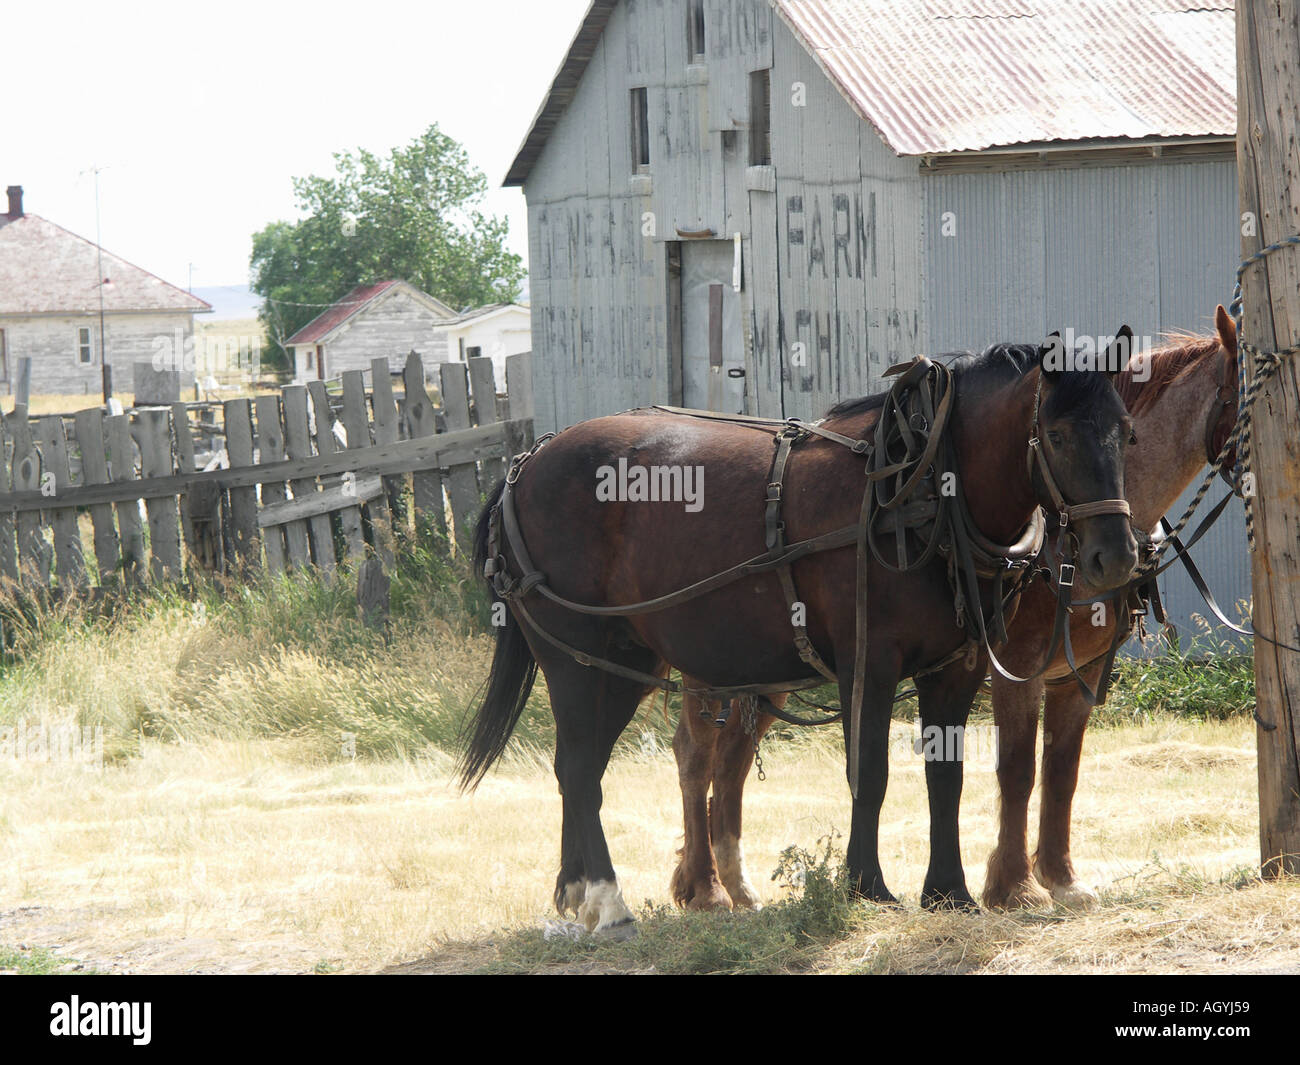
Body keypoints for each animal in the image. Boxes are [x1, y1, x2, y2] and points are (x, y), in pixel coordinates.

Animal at [460, 338, 1138, 936]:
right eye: (1056, 435)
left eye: (1125, 433)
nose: (1115, 556)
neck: (921, 487)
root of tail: (524, 465)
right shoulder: (871, 661)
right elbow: (870, 773)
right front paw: (866, 886)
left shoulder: (956, 668)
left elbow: (945, 777)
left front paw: (949, 893)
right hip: (572, 658)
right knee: (579, 768)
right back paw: (609, 903)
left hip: (624, 663)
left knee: (583, 768)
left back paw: (578, 892)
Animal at [670, 308, 1237, 915]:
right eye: (1057, 435)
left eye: (1126, 433)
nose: (1115, 557)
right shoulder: (1016, 669)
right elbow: (1018, 770)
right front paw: (1012, 885)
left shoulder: (1074, 675)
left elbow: (1062, 773)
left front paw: (1061, 878)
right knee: (697, 755)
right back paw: (706, 887)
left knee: (730, 760)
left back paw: (729, 884)